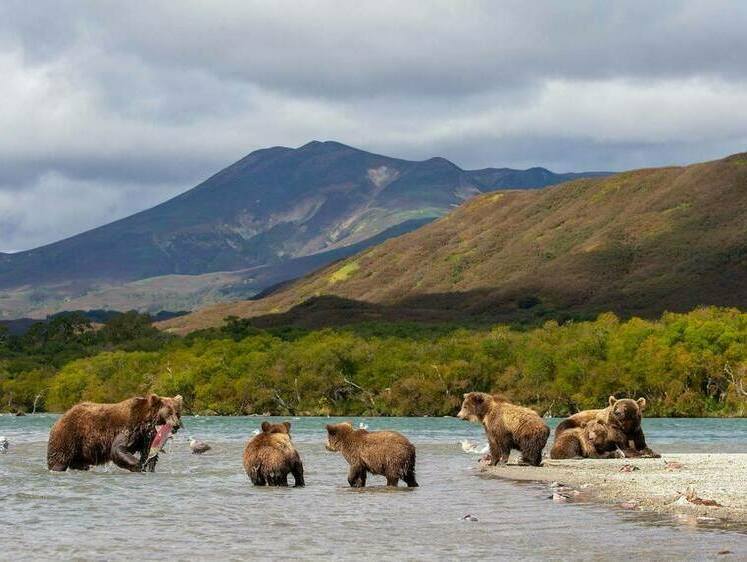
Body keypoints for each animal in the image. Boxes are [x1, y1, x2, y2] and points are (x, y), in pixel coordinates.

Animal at [47, 392, 184, 470]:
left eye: (177, 413)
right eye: (169, 412)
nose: (176, 425)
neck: (146, 422)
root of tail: (62, 416)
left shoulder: (147, 436)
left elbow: (149, 453)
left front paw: (148, 466)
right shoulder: (129, 426)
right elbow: (118, 448)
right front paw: (138, 465)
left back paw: (83, 466)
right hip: (69, 435)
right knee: (59, 457)